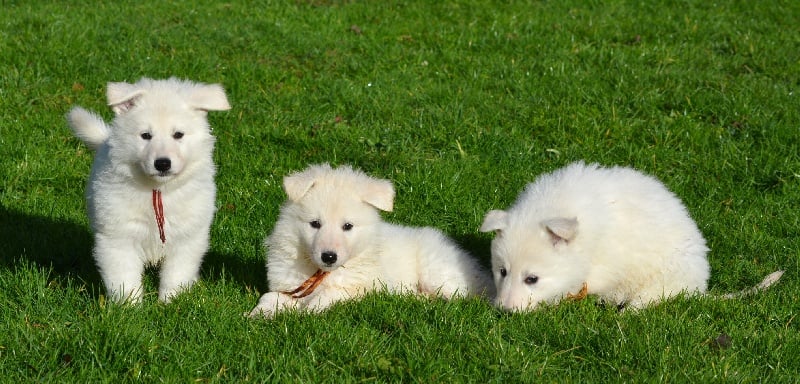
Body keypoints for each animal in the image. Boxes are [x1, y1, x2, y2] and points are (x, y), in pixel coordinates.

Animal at [66, 76, 231, 302]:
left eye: (178, 134)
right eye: (145, 135)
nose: (162, 163)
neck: (158, 190)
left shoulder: (187, 237)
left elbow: (176, 273)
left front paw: (171, 302)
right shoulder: (118, 236)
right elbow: (124, 276)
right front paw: (129, 305)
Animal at [248, 164, 494, 316]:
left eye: (347, 226)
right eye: (315, 223)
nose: (329, 256)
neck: (320, 272)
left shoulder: (362, 288)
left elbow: (329, 295)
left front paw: (306, 312)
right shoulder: (288, 284)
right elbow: (269, 296)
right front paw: (257, 314)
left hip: (437, 272)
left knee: (462, 298)